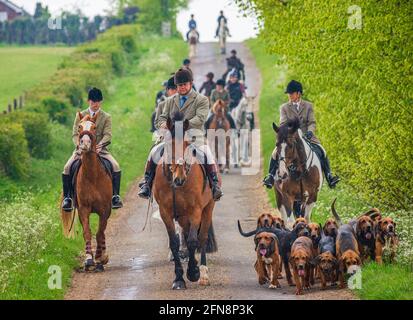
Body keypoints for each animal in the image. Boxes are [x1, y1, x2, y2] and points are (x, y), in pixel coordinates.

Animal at [58, 112, 112, 272]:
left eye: (94, 127)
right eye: (79, 127)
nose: (85, 144)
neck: (92, 175)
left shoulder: (105, 209)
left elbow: (100, 233)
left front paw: (100, 258)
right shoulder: (83, 209)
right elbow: (87, 232)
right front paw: (89, 260)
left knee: (102, 231)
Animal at [152, 112, 217, 290]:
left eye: (187, 144)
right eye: (168, 145)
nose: (179, 179)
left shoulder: (196, 211)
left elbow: (194, 240)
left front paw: (193, 273)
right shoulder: (166, 212)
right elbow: (174, 242)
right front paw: (179, 279)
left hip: (207, 209)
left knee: (201, 238)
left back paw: (203, 273)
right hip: (182, 217)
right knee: (186, 235)